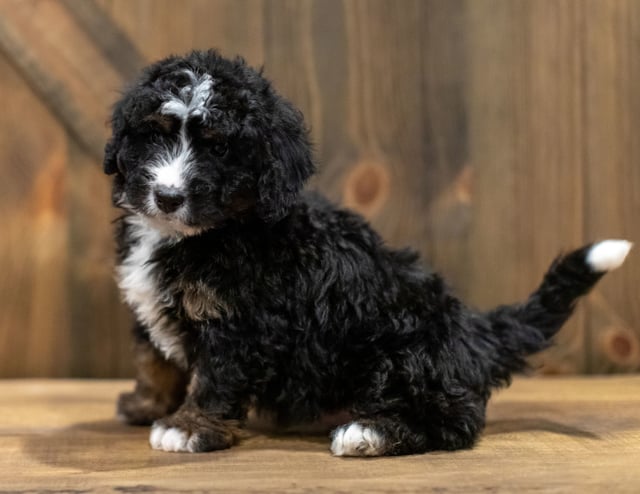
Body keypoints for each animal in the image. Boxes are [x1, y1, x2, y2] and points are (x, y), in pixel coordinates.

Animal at [106, 50, 632, 456]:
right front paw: (148, 404)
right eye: (155, 133)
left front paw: (187, 427)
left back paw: (368, 432)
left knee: (453, 421)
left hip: (405, 352)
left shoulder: (239, 325)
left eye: (218, 150)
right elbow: (153, 357)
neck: (204, 233)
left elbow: (214, 378)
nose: (168, 196)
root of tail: (473, 333)